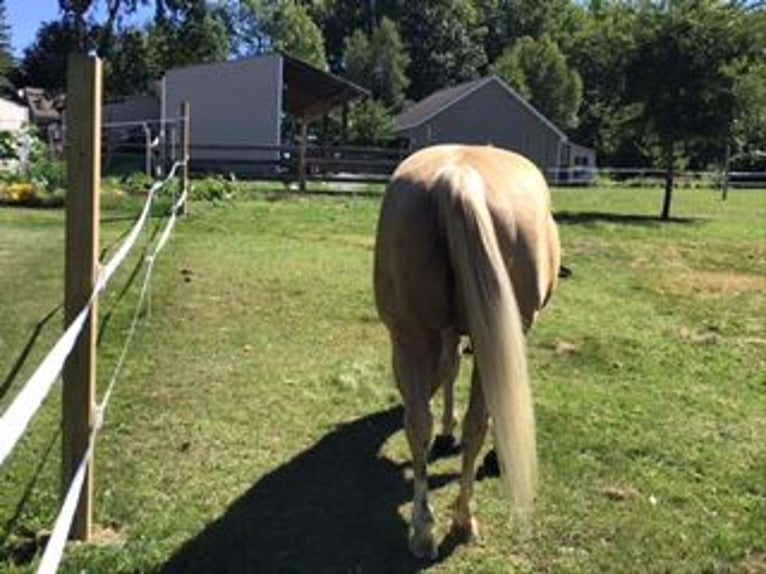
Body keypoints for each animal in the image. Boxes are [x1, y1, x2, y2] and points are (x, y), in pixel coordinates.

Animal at [373, 144, 561, 559]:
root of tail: (457, 178)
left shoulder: (447, 333)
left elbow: (449, 368)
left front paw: (447, 424)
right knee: (470, 421)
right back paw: (458, 520)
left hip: (411, 336)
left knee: (422, 424)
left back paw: (426, 529)